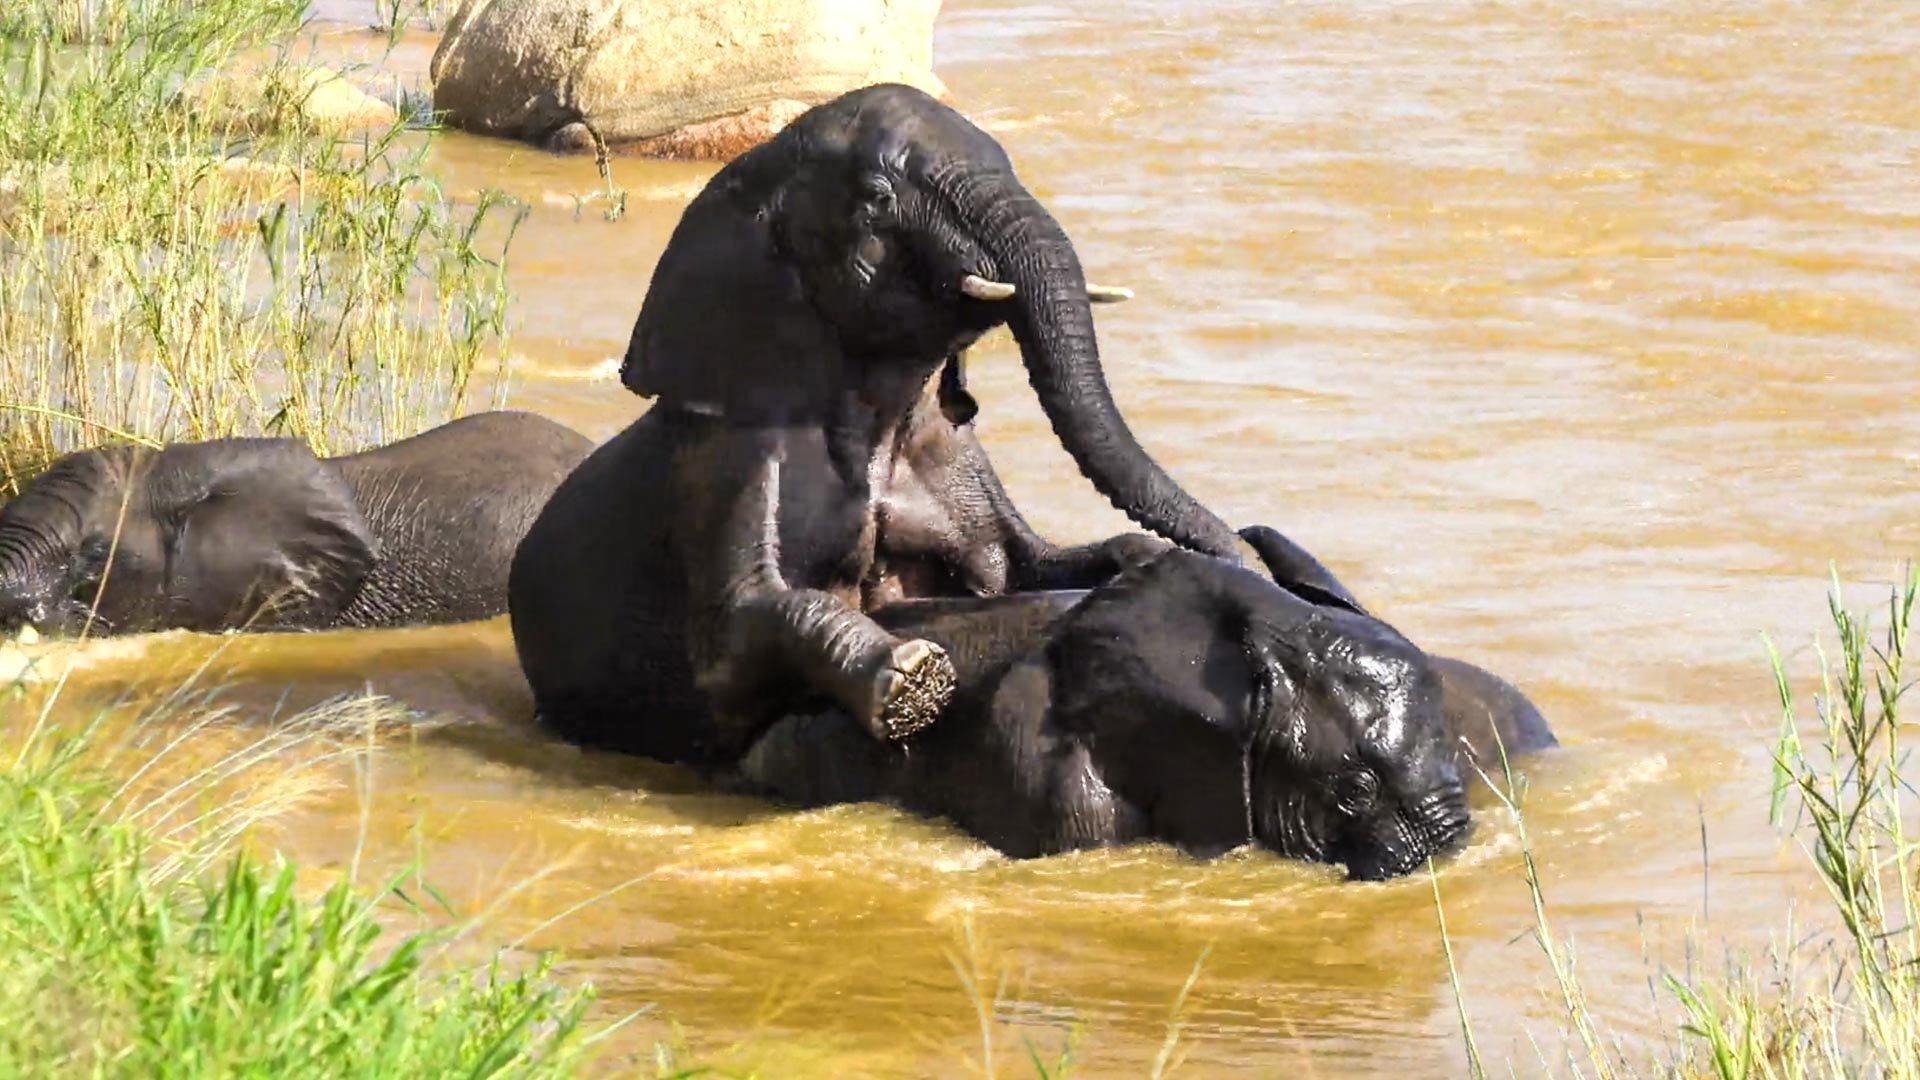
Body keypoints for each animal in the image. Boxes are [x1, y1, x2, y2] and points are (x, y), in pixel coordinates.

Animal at [511, 84, 1246, 765]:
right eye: (877, 197)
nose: (1247, 548)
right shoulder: (732, 463)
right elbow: (741, 635)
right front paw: (911, 674)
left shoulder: (953, 458)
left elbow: (1020, 569)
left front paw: (1149, 558)